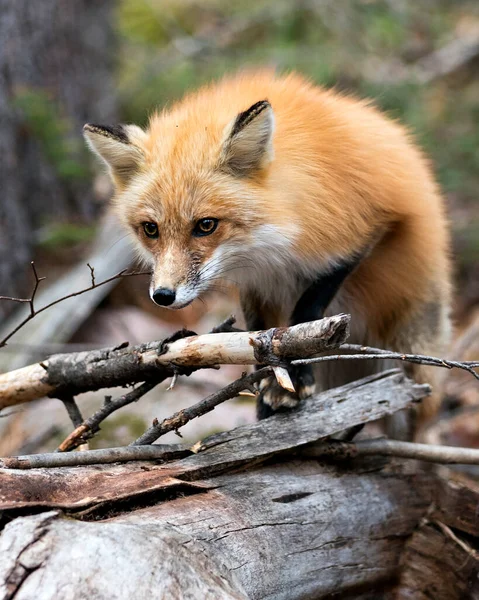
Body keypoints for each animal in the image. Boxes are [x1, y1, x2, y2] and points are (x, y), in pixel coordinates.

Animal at [83, 70, 454, 418]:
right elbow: (259, 334)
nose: (163, 296)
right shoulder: (256, 282)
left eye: (206, 225)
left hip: (410, 367)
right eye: (150, 229)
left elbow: (306, 312)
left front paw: (295, 378)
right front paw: (269, 386)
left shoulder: (367, 226)